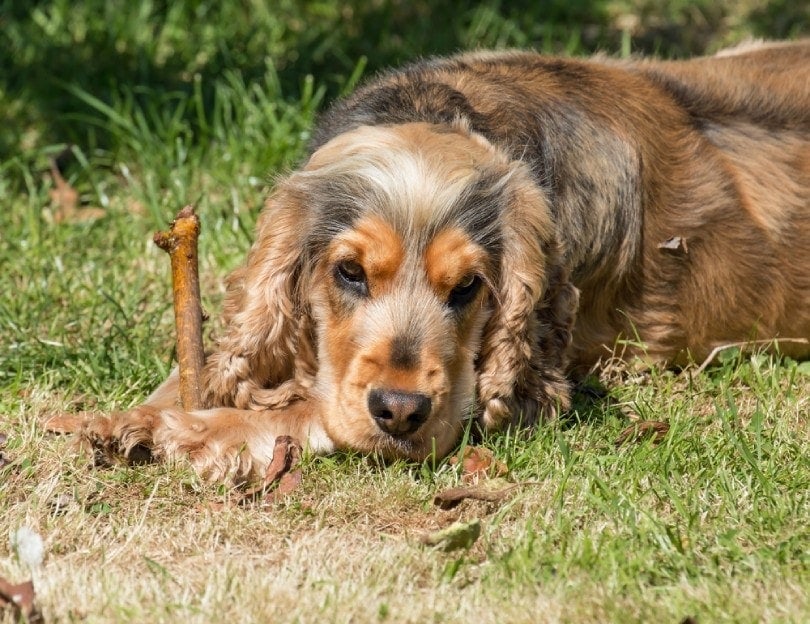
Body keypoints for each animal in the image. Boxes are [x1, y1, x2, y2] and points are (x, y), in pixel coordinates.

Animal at [80, 41, 808, 480]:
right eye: (349, 272)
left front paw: (186, 431)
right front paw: (127, 417)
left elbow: (310, 411)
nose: (401, 411)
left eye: (468, 288)